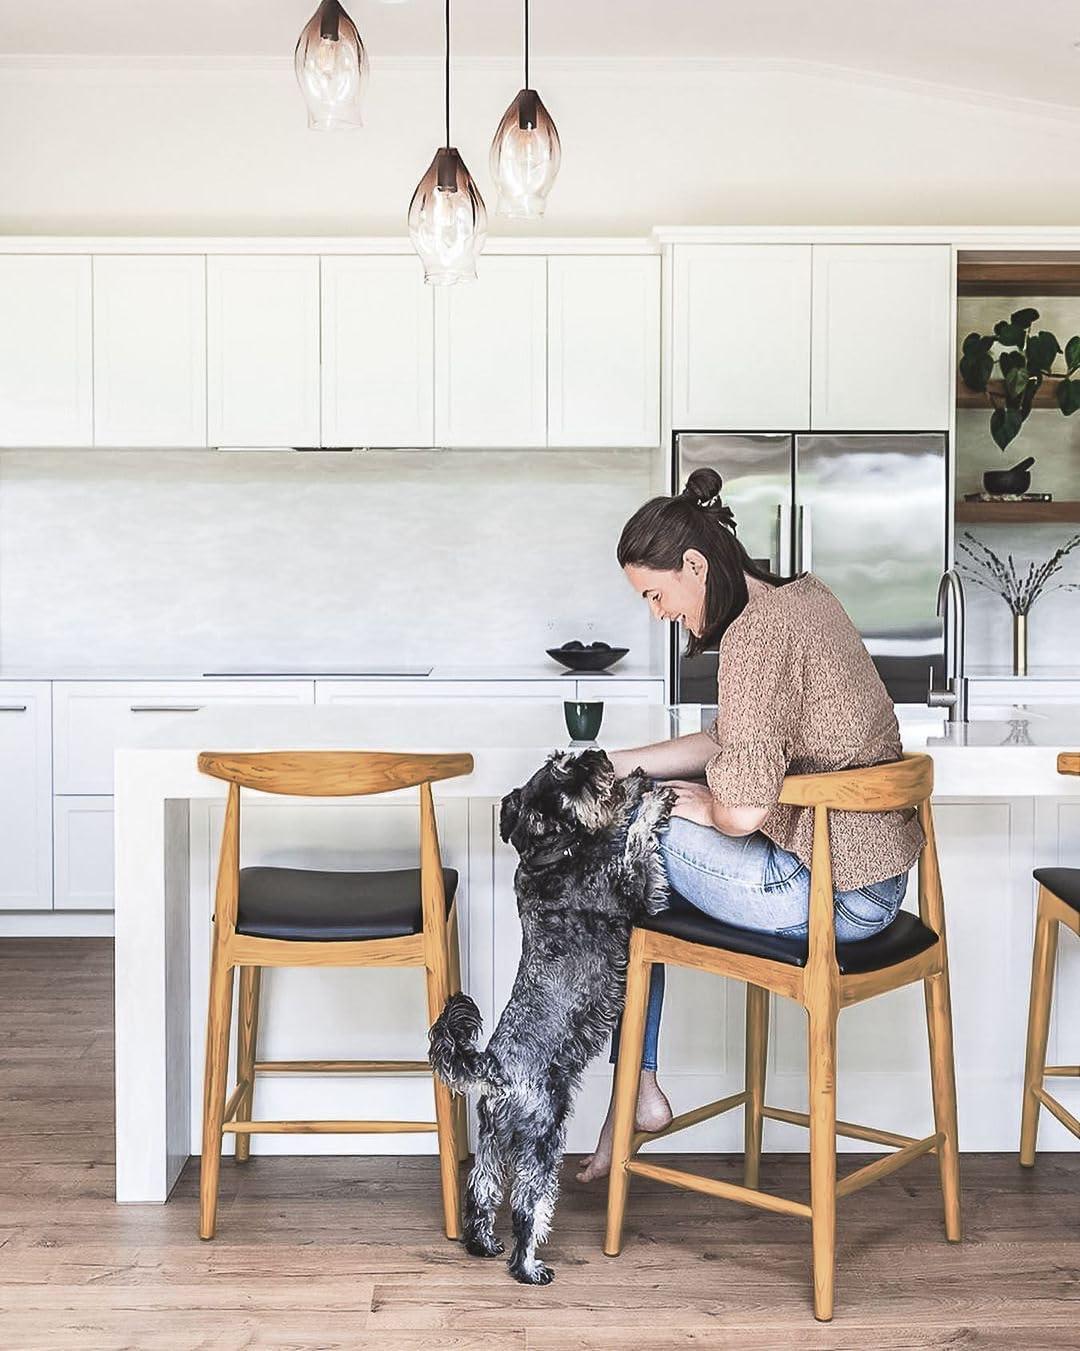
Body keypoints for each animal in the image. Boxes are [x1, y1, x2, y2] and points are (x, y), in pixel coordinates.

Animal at [427, 751, 670, 1286]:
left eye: (560, 758)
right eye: (563, 772)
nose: (599, 756)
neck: (550, 859)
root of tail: (493, 1068)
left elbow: (615, 827)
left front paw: (638, 787)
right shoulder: (636, 893)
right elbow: (634, 843)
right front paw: (651, 804)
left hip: (493, 1141)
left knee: (481, 1190)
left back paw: (483, 1244)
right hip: (541, 1140)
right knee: (526, 1206)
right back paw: (528, 1266)